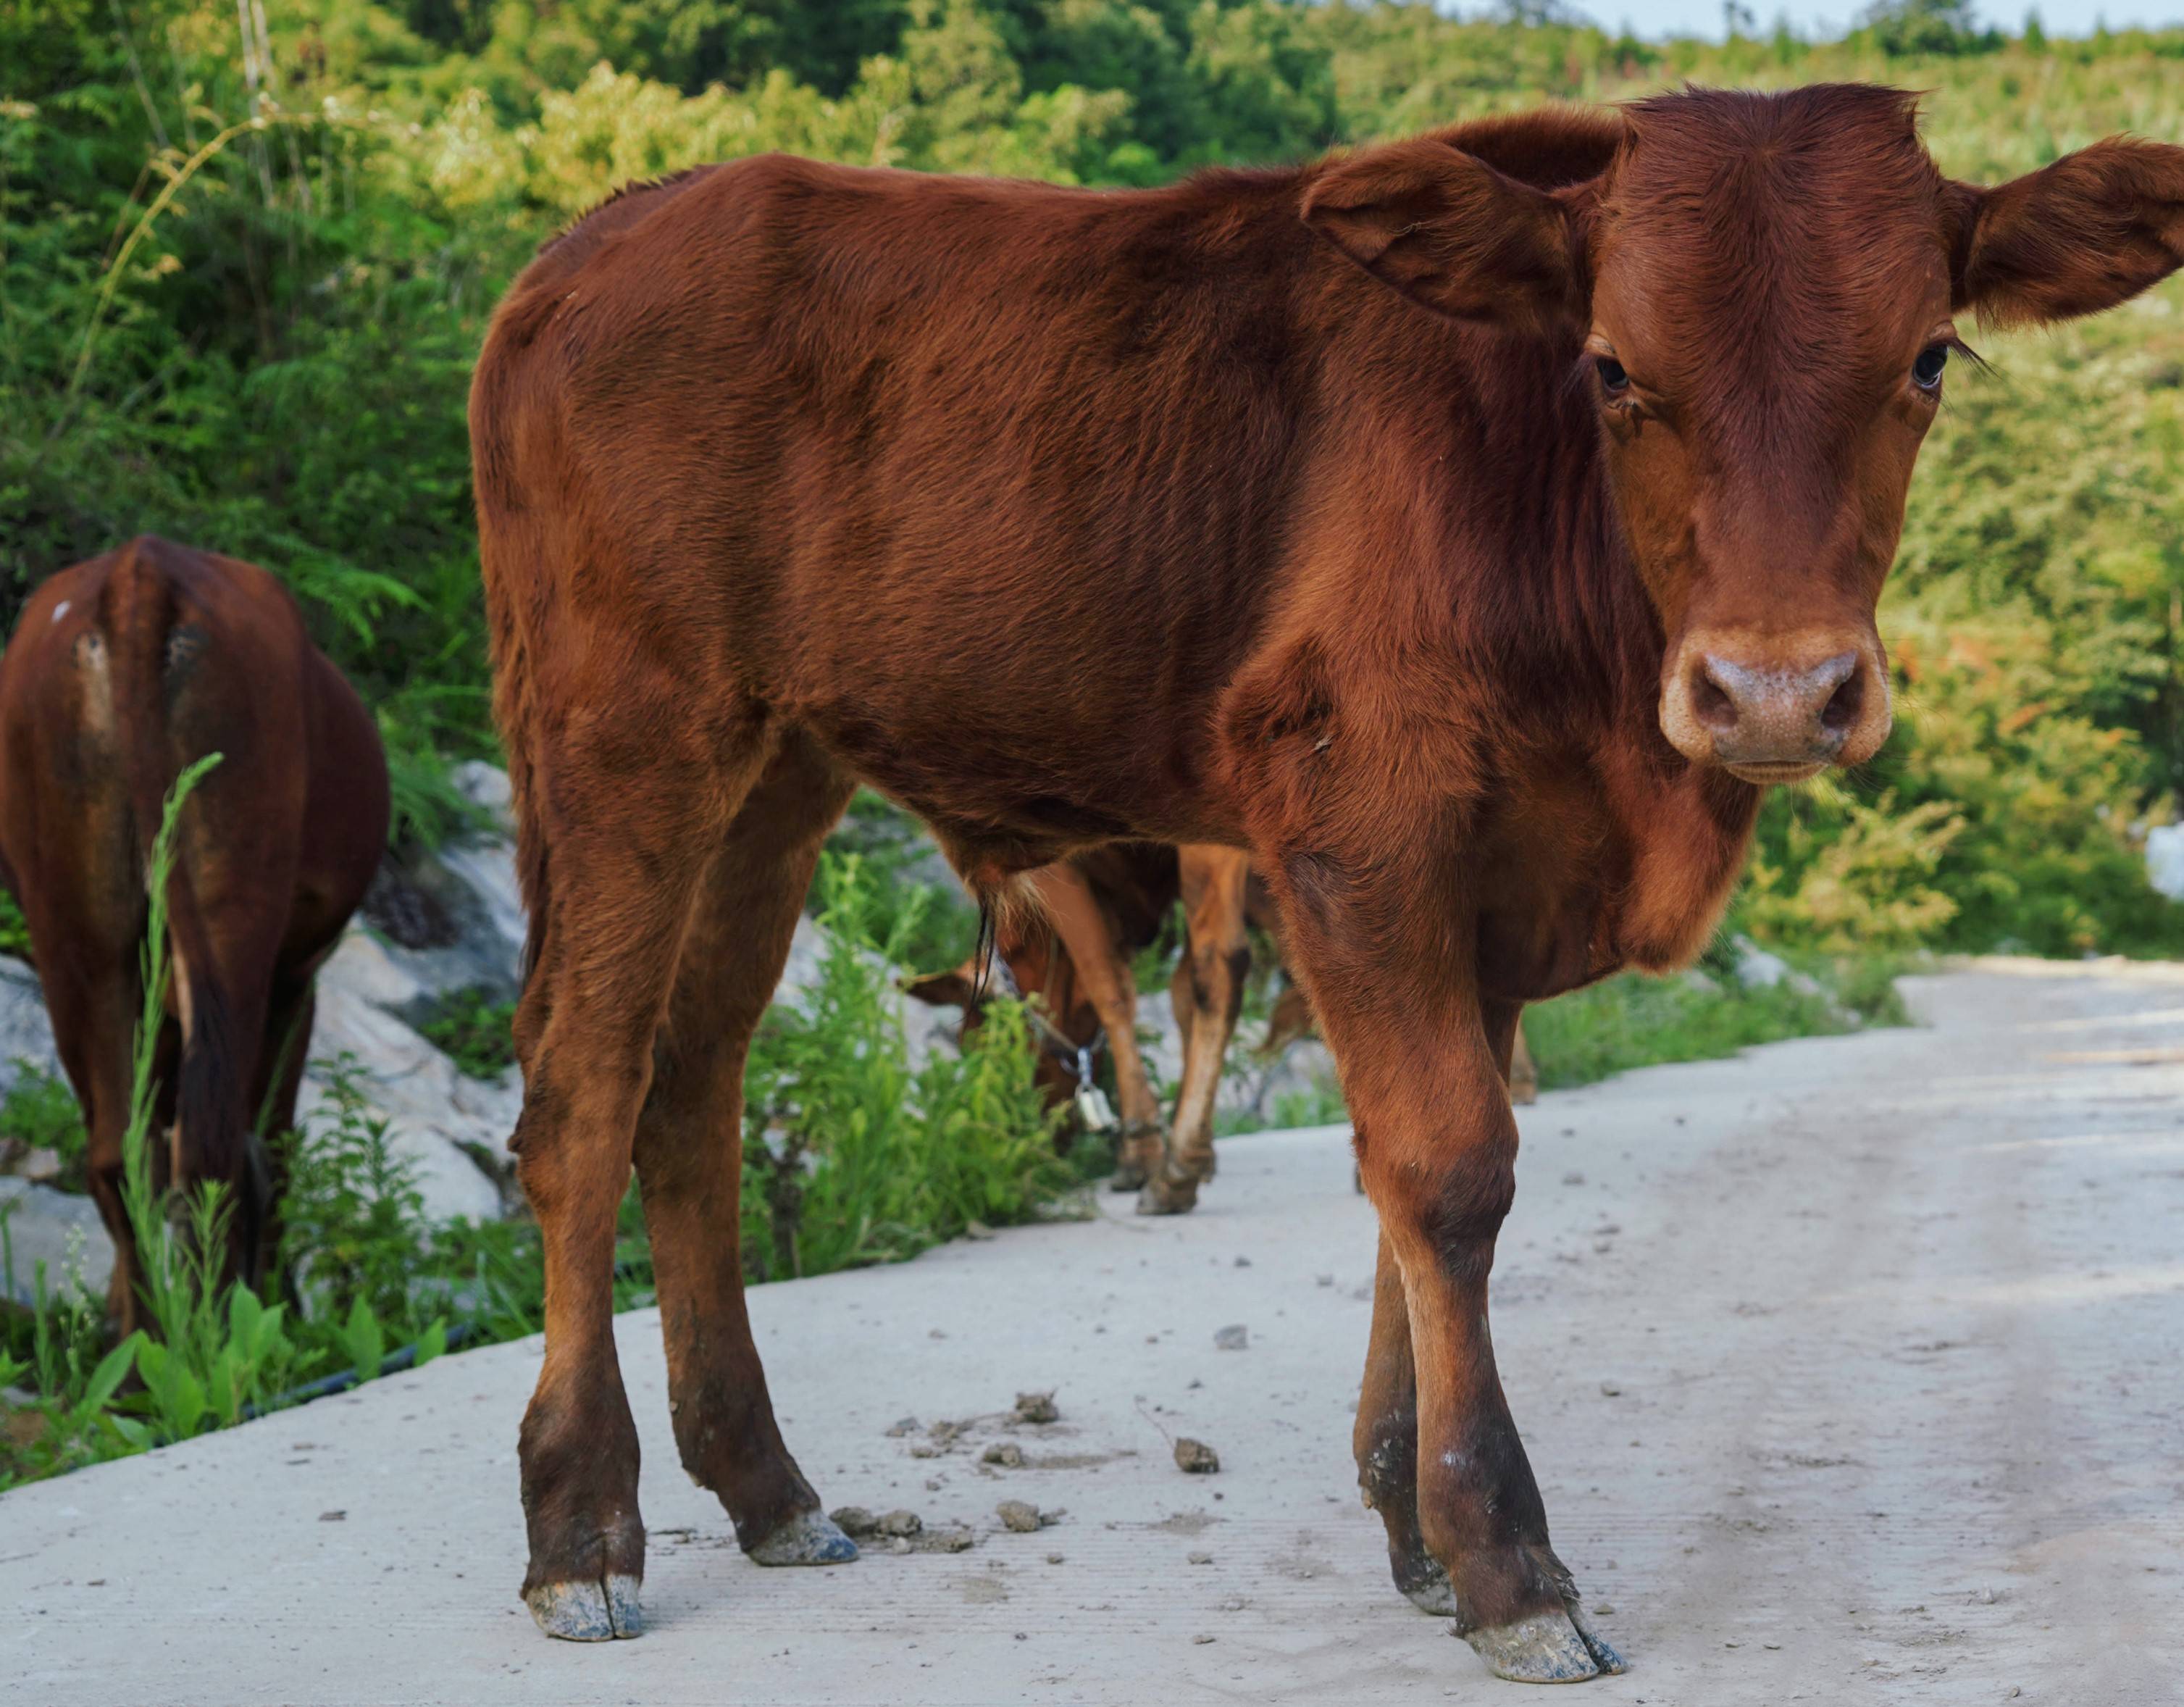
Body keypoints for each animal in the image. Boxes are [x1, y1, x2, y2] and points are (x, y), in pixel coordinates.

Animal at [0, 540, 388, 1329]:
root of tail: (139, 566)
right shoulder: (297, 983)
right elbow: (276, 1142)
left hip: (76, 938)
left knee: (120, 1150)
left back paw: (144, 1343)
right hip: (234, 911)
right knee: (212, 1143)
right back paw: (208, 1331)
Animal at [469, 86, 2175, 1669]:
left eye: (1930, 358)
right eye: (1613, 367)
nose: (1771, 692)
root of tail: (604, 232)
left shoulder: (1490, 884)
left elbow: (1406, 1179)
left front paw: (1409, 1514)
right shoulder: (1356, 809)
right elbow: (1449, 1166)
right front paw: (1504, 1559)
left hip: (779, 768)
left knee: (692, 1082)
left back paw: (765, 1485)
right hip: (626, 734)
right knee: (583, 1094)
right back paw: (579, 1530)